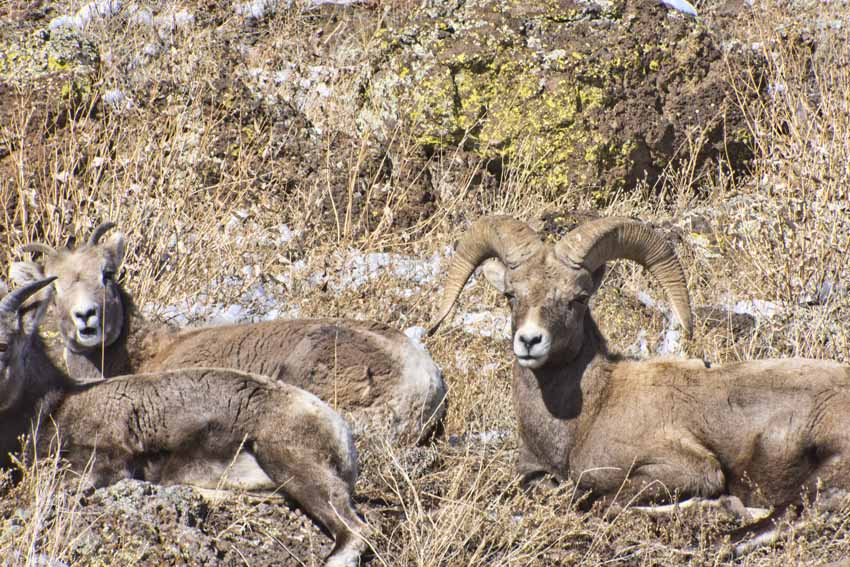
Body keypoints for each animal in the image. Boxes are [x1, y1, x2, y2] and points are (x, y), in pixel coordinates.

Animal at [0, 277, 368, 567]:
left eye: (4, 344)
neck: (58, 404)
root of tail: (339, 430)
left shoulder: (104, 462)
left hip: (292, 463)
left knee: (356, 531)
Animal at [428, 215, 850, 510]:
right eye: (511, 296)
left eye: (578, 298)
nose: (530, 341)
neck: (584, 417)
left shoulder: (689, 468)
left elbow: (605, 499)